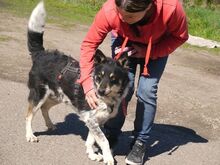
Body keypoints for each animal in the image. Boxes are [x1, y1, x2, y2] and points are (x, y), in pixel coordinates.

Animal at [25, 1, 129, 165]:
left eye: (113, 78)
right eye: (99, 77)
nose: (99, 92)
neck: (106, 99)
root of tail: (41, 54)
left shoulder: (94, 120)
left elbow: (91, 139)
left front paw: (92, 154)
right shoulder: (91, 118)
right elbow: (103, 140)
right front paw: (108, 157)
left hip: (58, 96)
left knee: (45, 108)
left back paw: (50, 125)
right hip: (39, 94)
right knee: (29, 115)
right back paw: (30, 135)